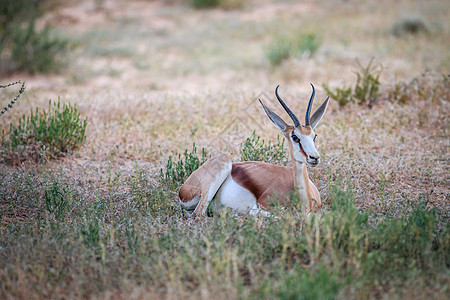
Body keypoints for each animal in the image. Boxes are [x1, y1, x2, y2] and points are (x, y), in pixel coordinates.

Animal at [178, 84, 328, 216]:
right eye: (295, 137)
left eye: (314, 136)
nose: (314, 157)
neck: (304, 202)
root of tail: (184, 188)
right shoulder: (259, 208)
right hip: (222, 165)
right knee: (198, 215)